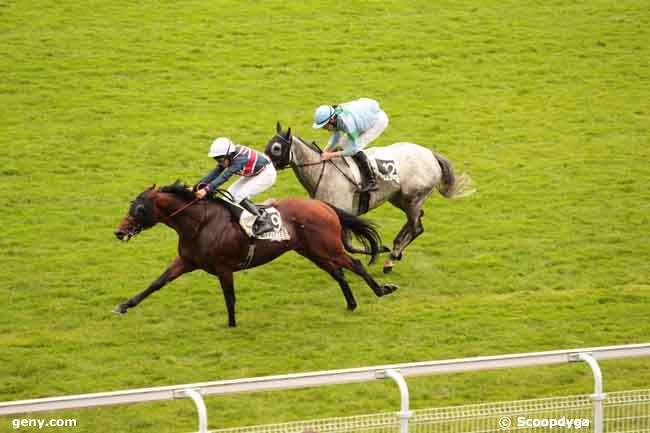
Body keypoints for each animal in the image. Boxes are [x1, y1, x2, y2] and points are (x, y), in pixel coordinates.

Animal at [113, 181, 394, 326]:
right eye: (131, 206)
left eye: (140, 209)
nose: (119, 232)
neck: (200, 223)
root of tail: (323, 205)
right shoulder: (186, 261)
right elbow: (156, 283)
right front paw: (123, 306)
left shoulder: (224, 268)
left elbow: (229, 297)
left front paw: (231, 324)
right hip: (312, 251)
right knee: (338, 273)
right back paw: (351, 303)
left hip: (328, 247)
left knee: (355, 264)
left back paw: (382, 290)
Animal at [264, 121, 470, 272]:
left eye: (276, 148)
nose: (263, 163)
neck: (324, 173)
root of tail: (431, 155)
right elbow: (348, 245)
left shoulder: (344, 215)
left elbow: (349, 244)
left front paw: (378, 249)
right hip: (399, 198)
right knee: (417, 222)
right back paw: (396, 252)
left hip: (413, 198)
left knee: (416, 227)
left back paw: (391, 258)